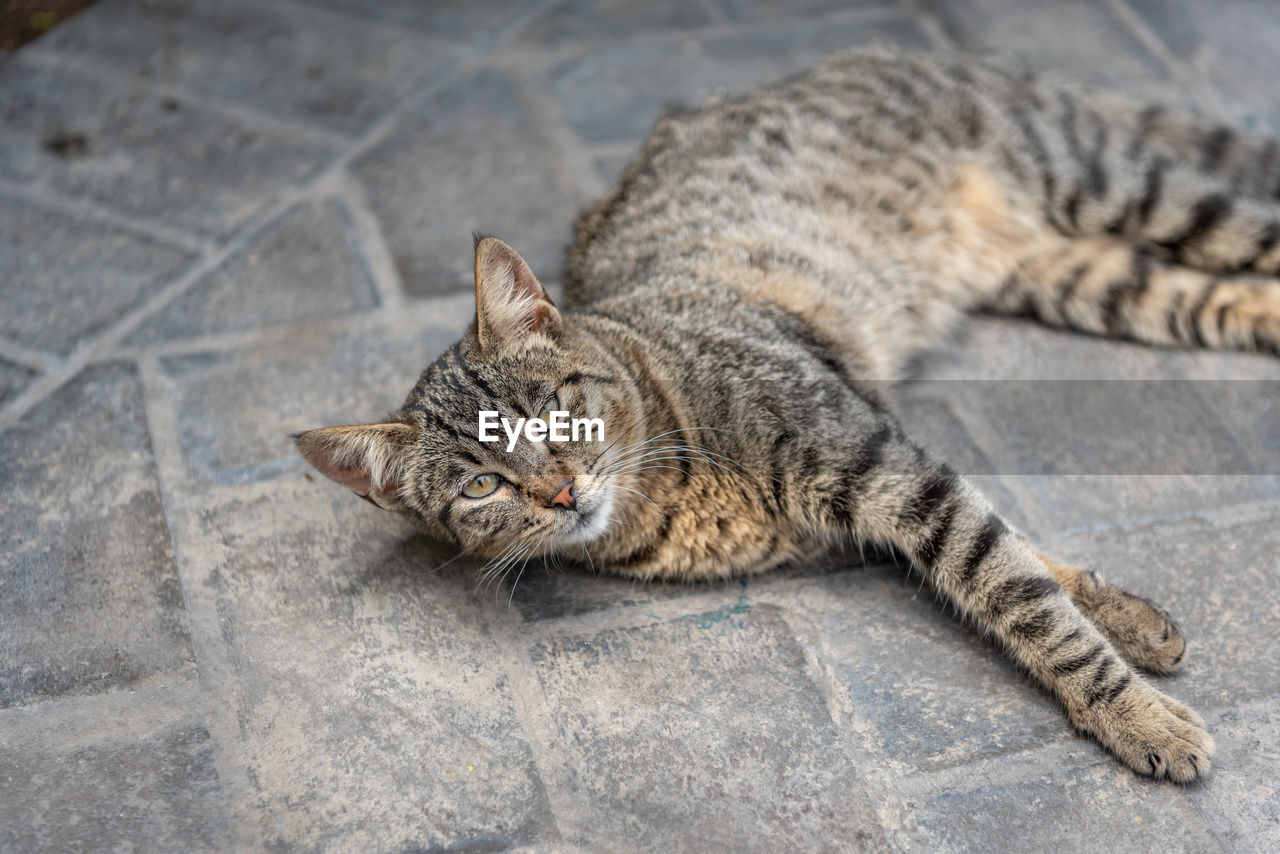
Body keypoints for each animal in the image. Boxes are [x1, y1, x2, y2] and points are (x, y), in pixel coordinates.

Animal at [294, 46, 1280, 783]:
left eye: (552, 413)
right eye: (482, 487)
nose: (562, 492)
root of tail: (890, 51)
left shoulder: (882, 460)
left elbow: (1018, 590)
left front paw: (1138, 713)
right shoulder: (891, 488)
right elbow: (1029, 566)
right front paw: (1131, 628)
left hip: (1128, 191)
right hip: (1086, 276)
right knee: (1212, 296)